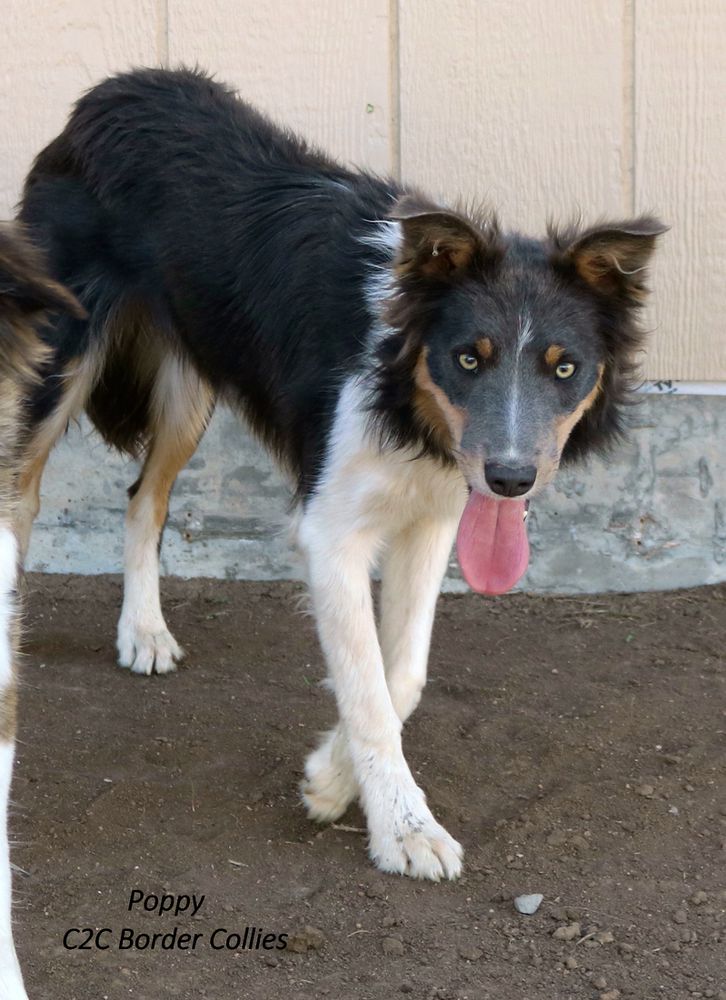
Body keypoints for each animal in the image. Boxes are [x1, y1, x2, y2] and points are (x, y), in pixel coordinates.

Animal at [15, 66, 664, 888]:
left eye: (565, 368)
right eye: (468, 358)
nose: (513, 479)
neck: (401, 388)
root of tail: (111, 89)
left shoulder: (433, 515)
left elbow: (402, 674)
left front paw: (331, 776)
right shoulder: (331, 533)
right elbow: (366, 685)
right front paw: (404, 828)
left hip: (192, 382)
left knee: (144, 498)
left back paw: (145, 630)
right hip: (60, 353)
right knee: (21, 493)